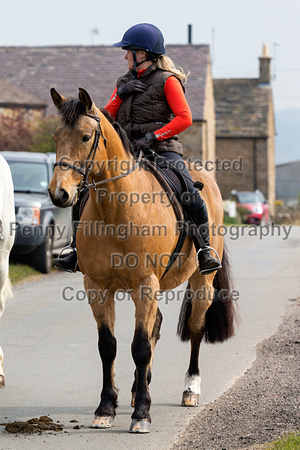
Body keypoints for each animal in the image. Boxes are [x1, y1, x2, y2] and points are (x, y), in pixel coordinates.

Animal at [48, 87, 237, 432]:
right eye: (55, 136)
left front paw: (142, 415)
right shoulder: (97, 286)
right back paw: (139, 388)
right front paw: (106, 408)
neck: (116, 211)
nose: (59, 194)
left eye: (85, 136)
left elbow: (140, 346)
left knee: (195, 328)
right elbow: (108, 346)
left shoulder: (144, 285)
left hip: (201, 281)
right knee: (156, 326)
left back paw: (190, 389)